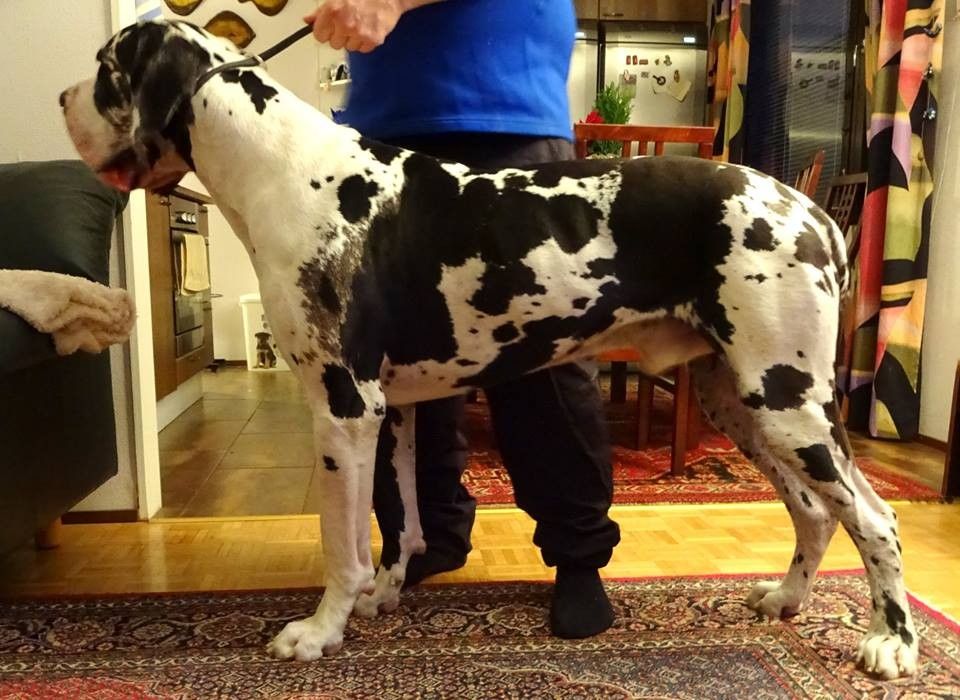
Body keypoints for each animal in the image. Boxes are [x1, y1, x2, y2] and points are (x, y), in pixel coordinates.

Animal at [61, 20, 918, 679]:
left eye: (104, 70)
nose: (62, 100)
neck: (282, 167)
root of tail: (811, 206)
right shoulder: (392, 410)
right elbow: (403, 520)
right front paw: (384, 595)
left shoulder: (342, 407)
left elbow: (340, 541)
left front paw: (321, 629)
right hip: (738, 399)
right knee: (814, 512)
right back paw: (786, 600)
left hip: (786, 403)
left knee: (874, 519)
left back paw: (891, 642)